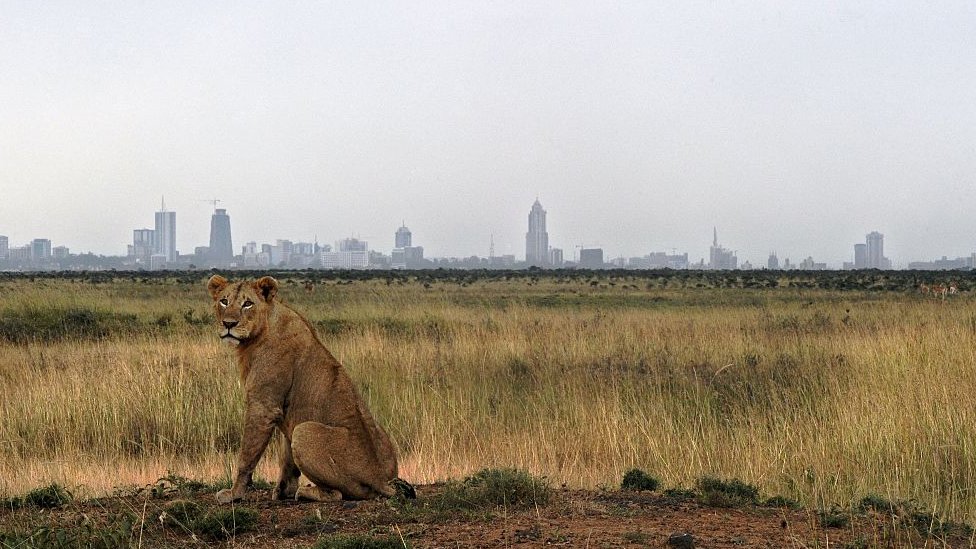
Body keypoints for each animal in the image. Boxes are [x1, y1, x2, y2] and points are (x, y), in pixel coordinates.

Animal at [207, 274, 405, 503]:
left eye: (247, 303)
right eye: (224, 301)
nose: (228, 324)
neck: (258, 335)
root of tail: (380, 478)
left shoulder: (263, 407)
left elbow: (246, 456)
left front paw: (234, 494)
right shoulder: (285, 415)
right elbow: (287, 460)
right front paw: (283, 490)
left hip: (305, 431)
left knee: (337, 494)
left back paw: (306, 492)